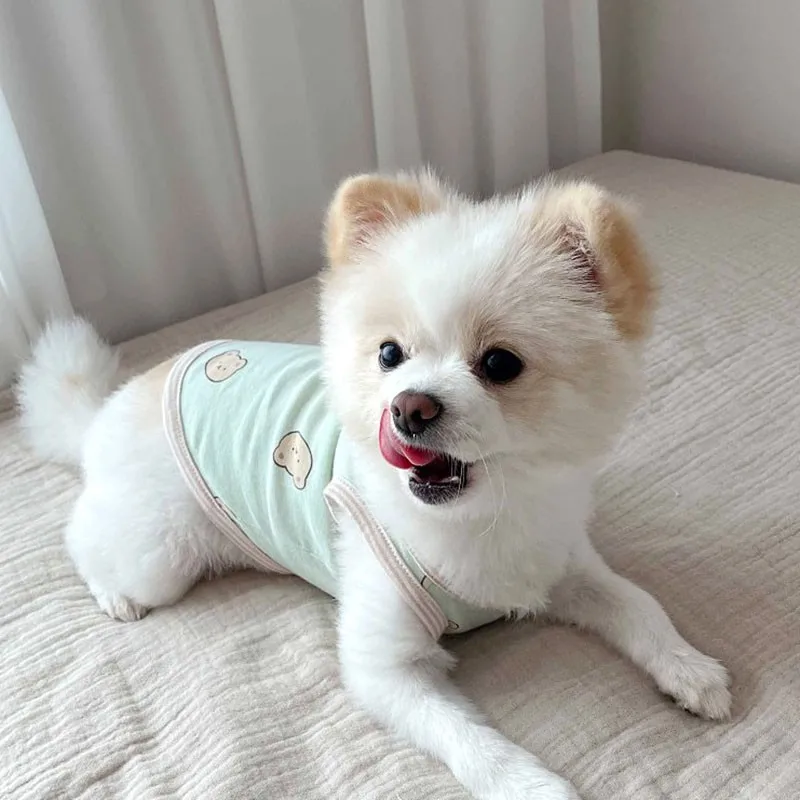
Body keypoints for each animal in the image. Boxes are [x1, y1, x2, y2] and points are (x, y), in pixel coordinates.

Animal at [17, 172, 731, 799]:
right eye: (390, 354)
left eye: (500, 363)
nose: (409, 407)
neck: (479, 520)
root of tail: (105, 411)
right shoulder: (385, 669)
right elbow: (470, 740)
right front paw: (531, 786)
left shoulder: (563, 567)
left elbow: (637, 603)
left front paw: (688, 667)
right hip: (159, 551)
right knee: (83, 538)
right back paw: (112, 594)